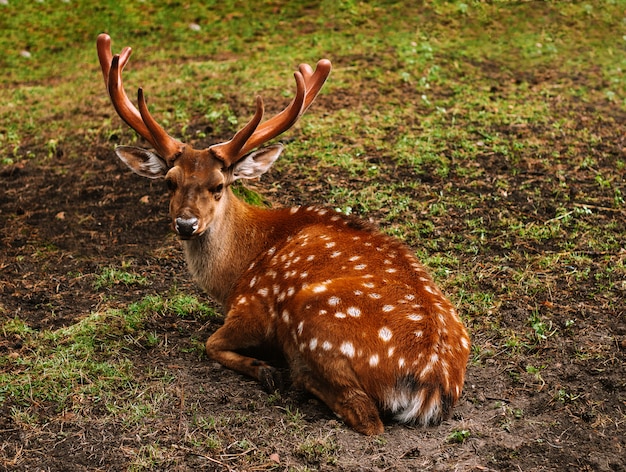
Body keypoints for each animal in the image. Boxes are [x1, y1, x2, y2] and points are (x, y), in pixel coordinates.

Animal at [97, 33, 468, 436]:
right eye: (169, 182)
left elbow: (209, 343)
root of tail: (432, 383)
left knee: (363, 413)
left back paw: (292, 374)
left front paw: (264, 369)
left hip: (313, 317)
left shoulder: (252, 307)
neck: (233, 275)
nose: (185, 224)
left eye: (218, 186)